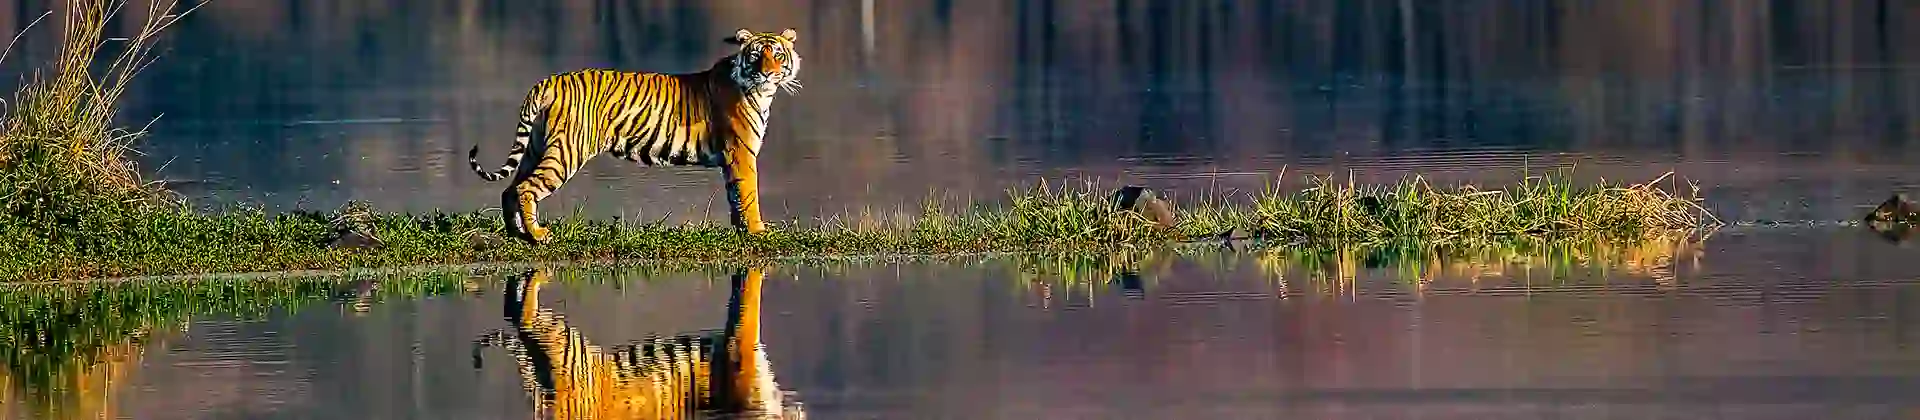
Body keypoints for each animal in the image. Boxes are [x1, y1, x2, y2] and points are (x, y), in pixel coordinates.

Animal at [468, 28, 802, 244]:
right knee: (526, 188)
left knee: (510, 188)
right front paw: (759, 231)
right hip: (566, 151)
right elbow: (748, 193)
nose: (768, 73)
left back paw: (518, 233)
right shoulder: (741, 152)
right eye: (756, 56)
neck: (762, 92)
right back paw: (538, 235)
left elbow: (735, 195)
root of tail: (548, 81)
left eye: (778, 55)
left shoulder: (733, 158)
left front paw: (743, 231)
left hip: (537, 147)